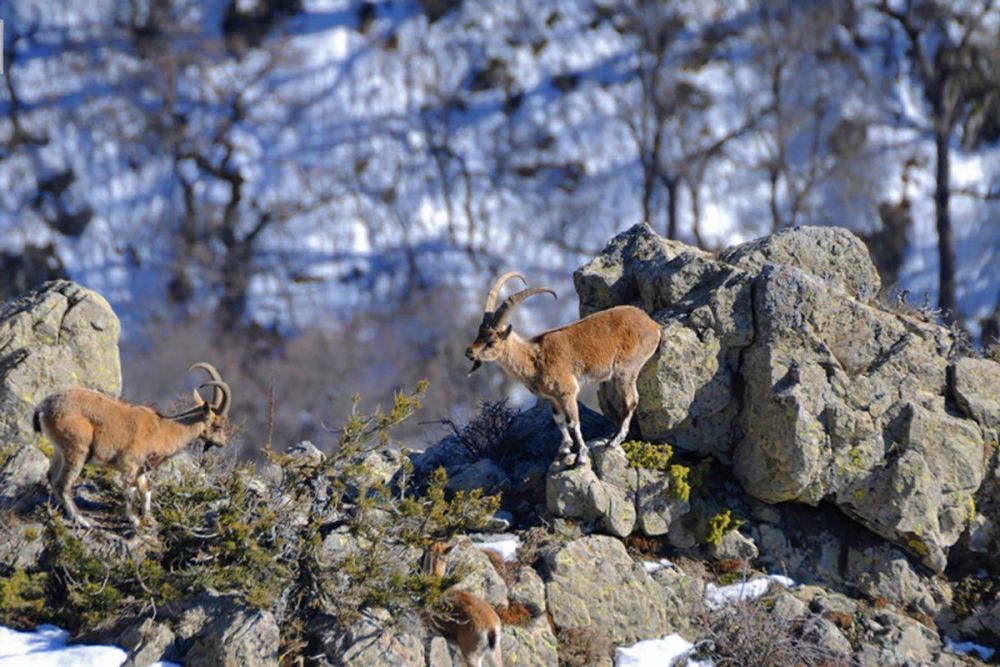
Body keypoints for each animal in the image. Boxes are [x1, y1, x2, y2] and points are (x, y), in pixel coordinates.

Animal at [33, 362, 232, 528]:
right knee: (63, 483)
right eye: (217, 425)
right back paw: (81, 519)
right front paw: (133, 519)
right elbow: (130, 491)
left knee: (51, 476)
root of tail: (44, 407)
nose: (223, 443)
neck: (164, 430)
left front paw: (150, 520)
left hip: (60, 451)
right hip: (76, 450)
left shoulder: (141, 469)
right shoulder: (129, 465)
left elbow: (146, 490)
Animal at [470, 270, 664, 464]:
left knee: (631, 400)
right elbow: (559, 420)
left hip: (626, 370)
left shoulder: (567, 391)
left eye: (491, 341)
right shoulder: (553, 397)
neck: (534, 358)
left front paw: (582, 454)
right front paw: (564, 449)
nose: (469, 352)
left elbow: (573, 421)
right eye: (478, 334)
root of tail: (653, 325)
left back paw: (614, 441)